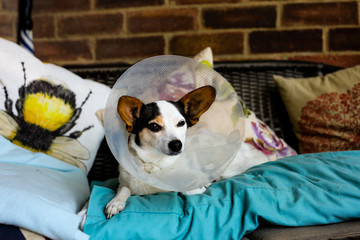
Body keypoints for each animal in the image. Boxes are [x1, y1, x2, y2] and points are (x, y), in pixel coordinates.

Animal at [104, 86, 217, 219]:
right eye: (154, 126)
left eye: (181, 123)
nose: (177, 144)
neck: (154, 163)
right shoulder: (123, 183)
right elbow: (124, 189)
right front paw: (115, 203)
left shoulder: (194, 185)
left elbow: (188, 188)